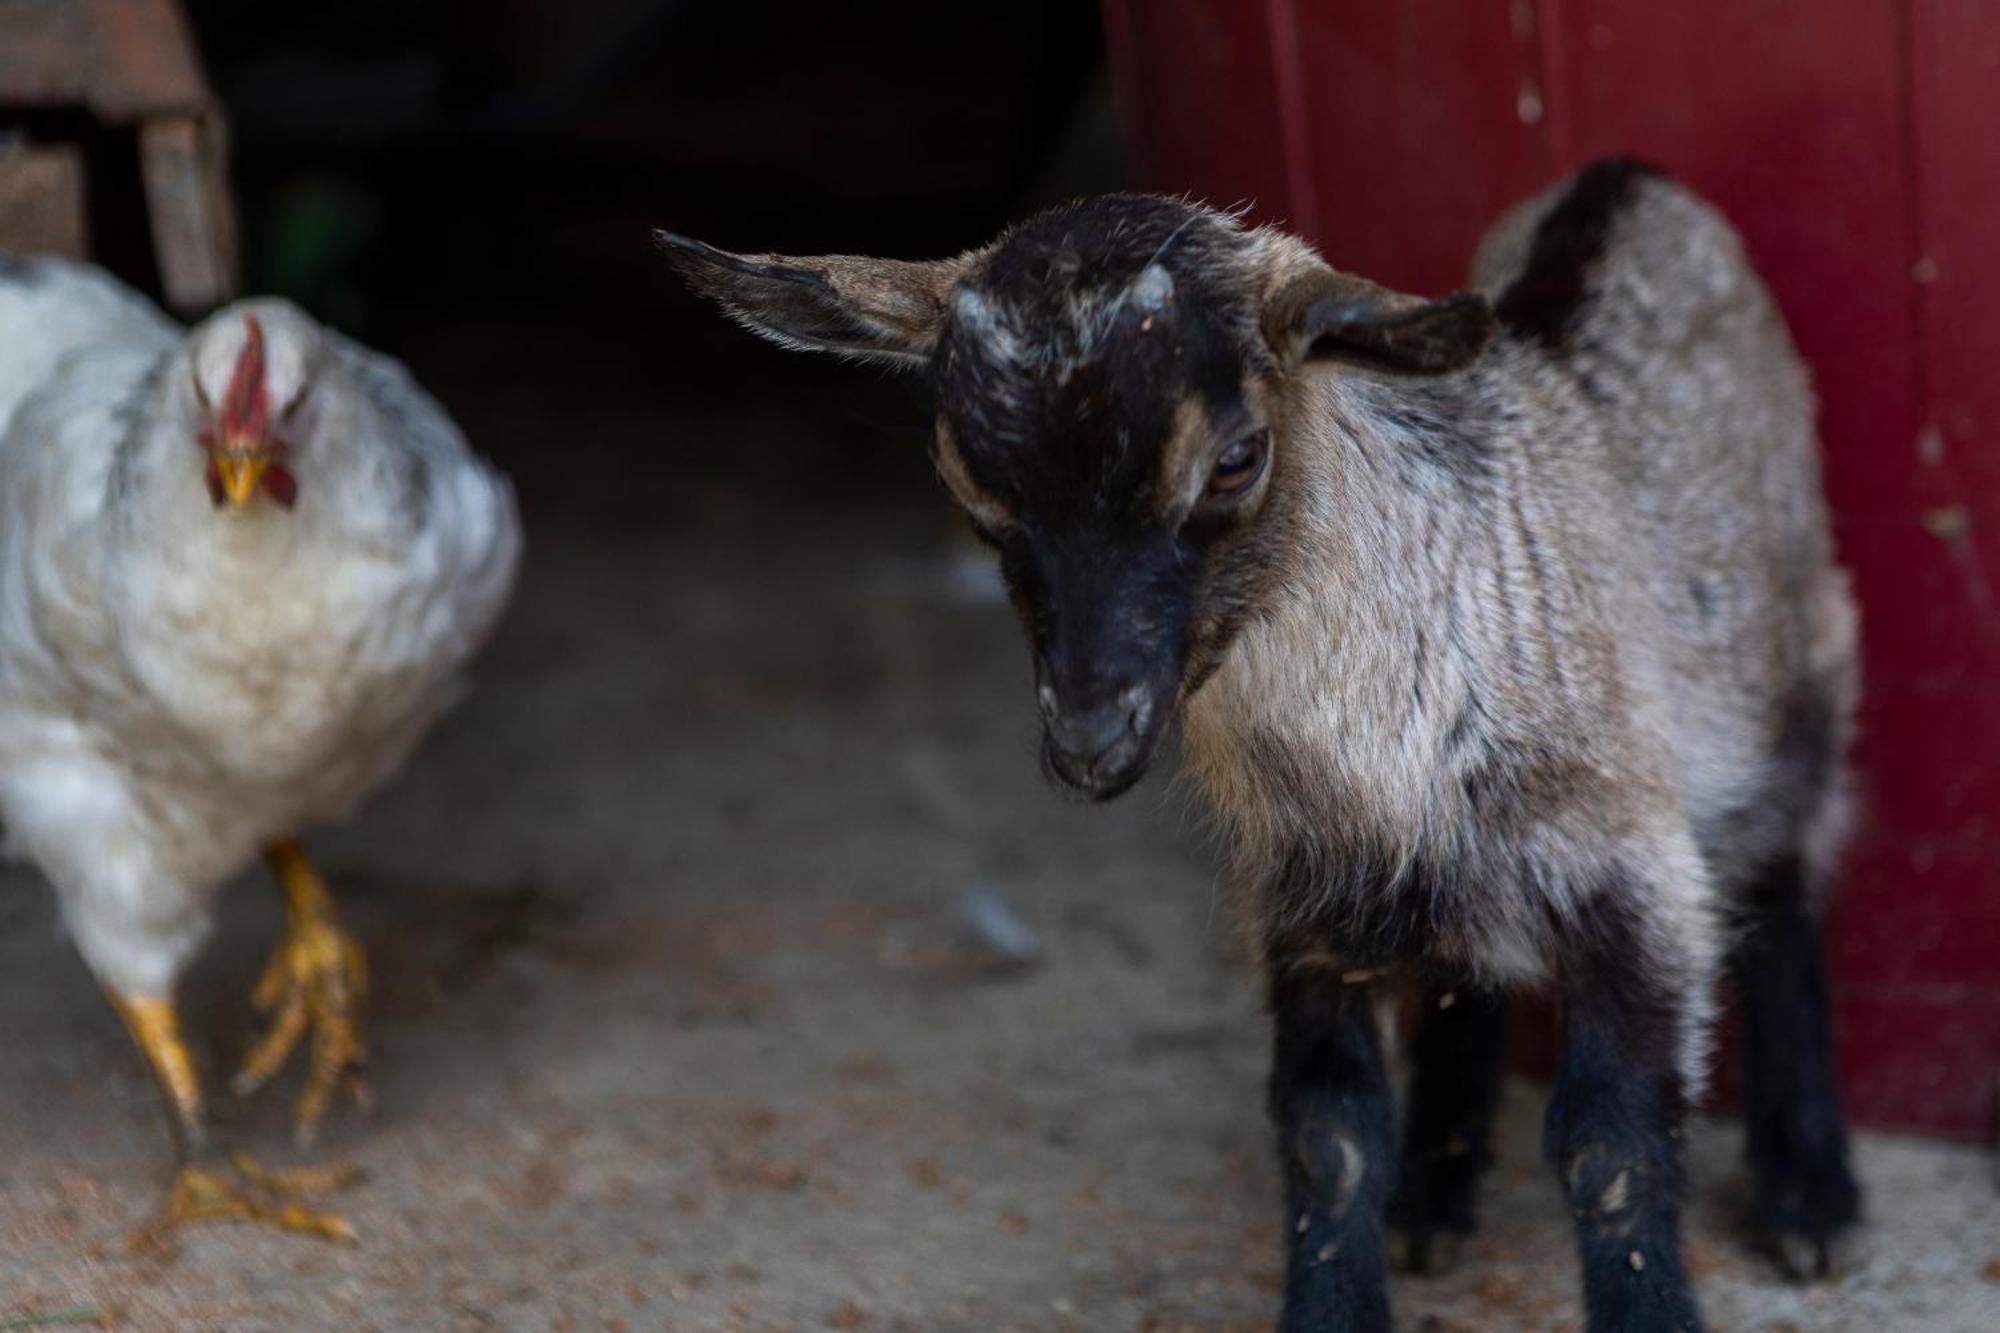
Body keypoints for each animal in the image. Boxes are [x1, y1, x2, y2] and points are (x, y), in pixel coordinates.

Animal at [664, 163, 1864, 1328]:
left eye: (1237, 459)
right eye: (968, 490)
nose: (1090, 738)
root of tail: (1630, 175)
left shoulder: (1632, 873)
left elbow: (1608, 1149)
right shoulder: (1305, 908)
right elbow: (1327, 1138)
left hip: (1795, 657)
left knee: (1787, 870)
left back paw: (1808, 1195)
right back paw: (1435, 1195)